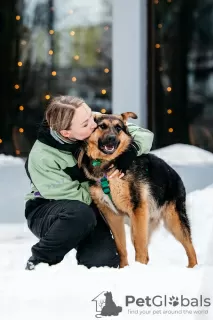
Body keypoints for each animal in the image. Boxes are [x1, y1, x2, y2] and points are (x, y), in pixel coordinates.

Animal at [77, 111, 198, 268]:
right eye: (102, 126)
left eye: (118, 128)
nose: (112, 138)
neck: (108, 166)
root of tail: (175, 175)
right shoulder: (112, 215)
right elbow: (121, 247)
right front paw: (124, 268)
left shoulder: (137, 208)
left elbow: (140, 244)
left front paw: (138, 267)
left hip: (173, 220)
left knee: (189, 247)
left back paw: (193, 268)